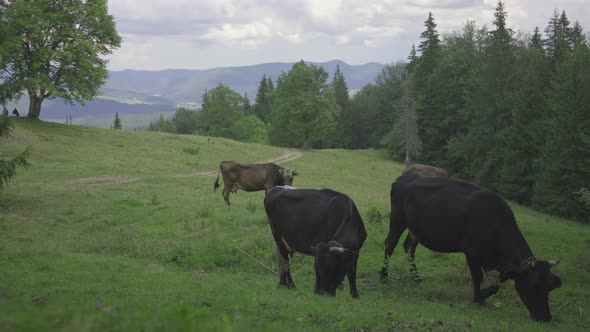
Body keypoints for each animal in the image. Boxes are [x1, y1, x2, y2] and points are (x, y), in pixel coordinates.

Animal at [384, 175, 564, 320]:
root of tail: (403, 178)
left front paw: (484, 295)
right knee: (390, 243)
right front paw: (479, 298)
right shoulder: (472, 252)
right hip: (398, 219)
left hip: (415, 229)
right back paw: (383, 276)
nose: (546, 317)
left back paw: (416, 278)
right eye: (535, 284)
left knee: (409, 247)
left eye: (551, 285)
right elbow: (478, 277)